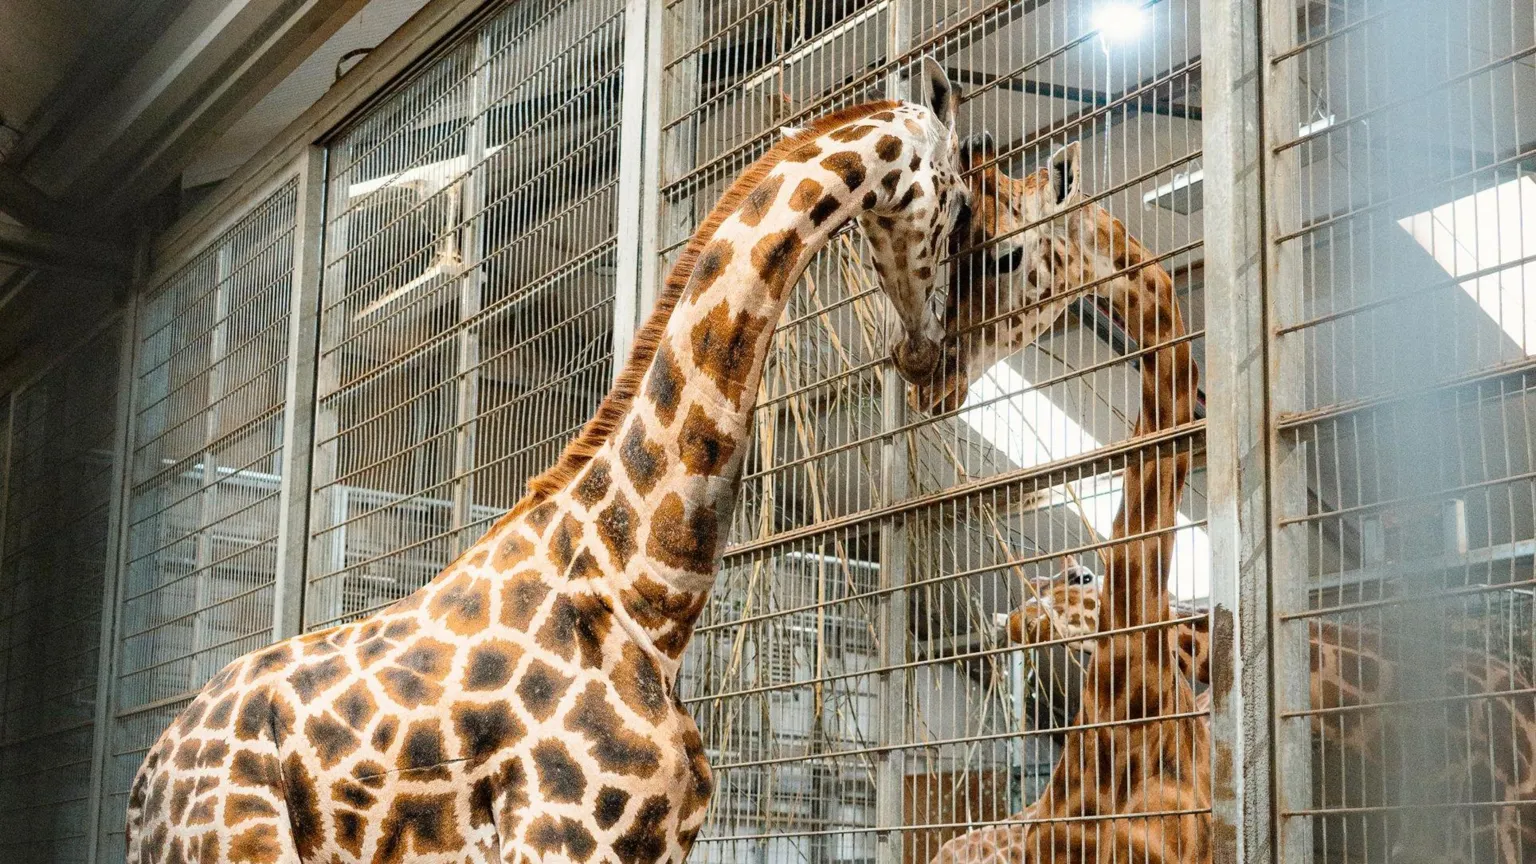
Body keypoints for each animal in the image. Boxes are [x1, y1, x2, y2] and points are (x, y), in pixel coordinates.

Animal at [124, 60, 969, 864]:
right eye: (961, 202)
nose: (930, 358)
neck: (644, 594)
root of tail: (147, 775)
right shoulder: (562, 834)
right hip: (237, 843)